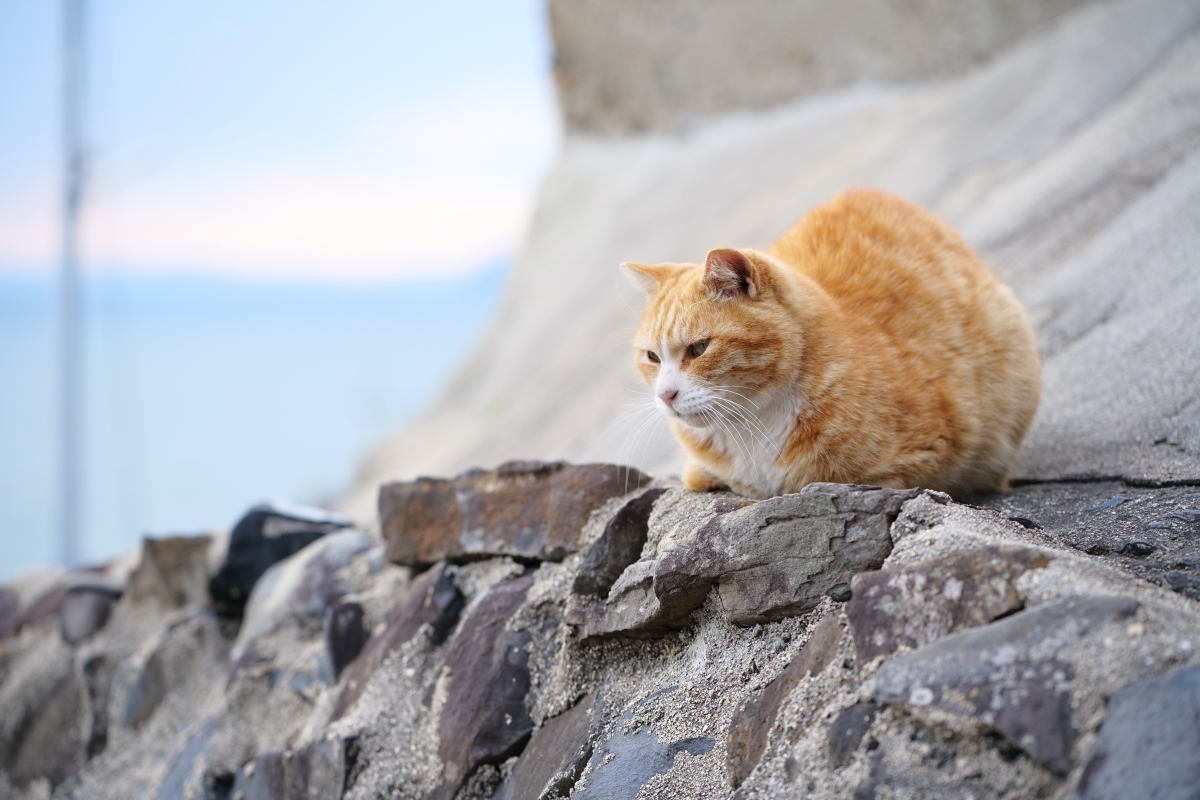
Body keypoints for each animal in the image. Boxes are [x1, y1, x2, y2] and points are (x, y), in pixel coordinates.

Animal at [624, 190, 1036, 496]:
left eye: (699, 348)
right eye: (652, 357)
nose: (665, 395)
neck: (751, 426)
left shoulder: (921, 458)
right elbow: (707, 478)